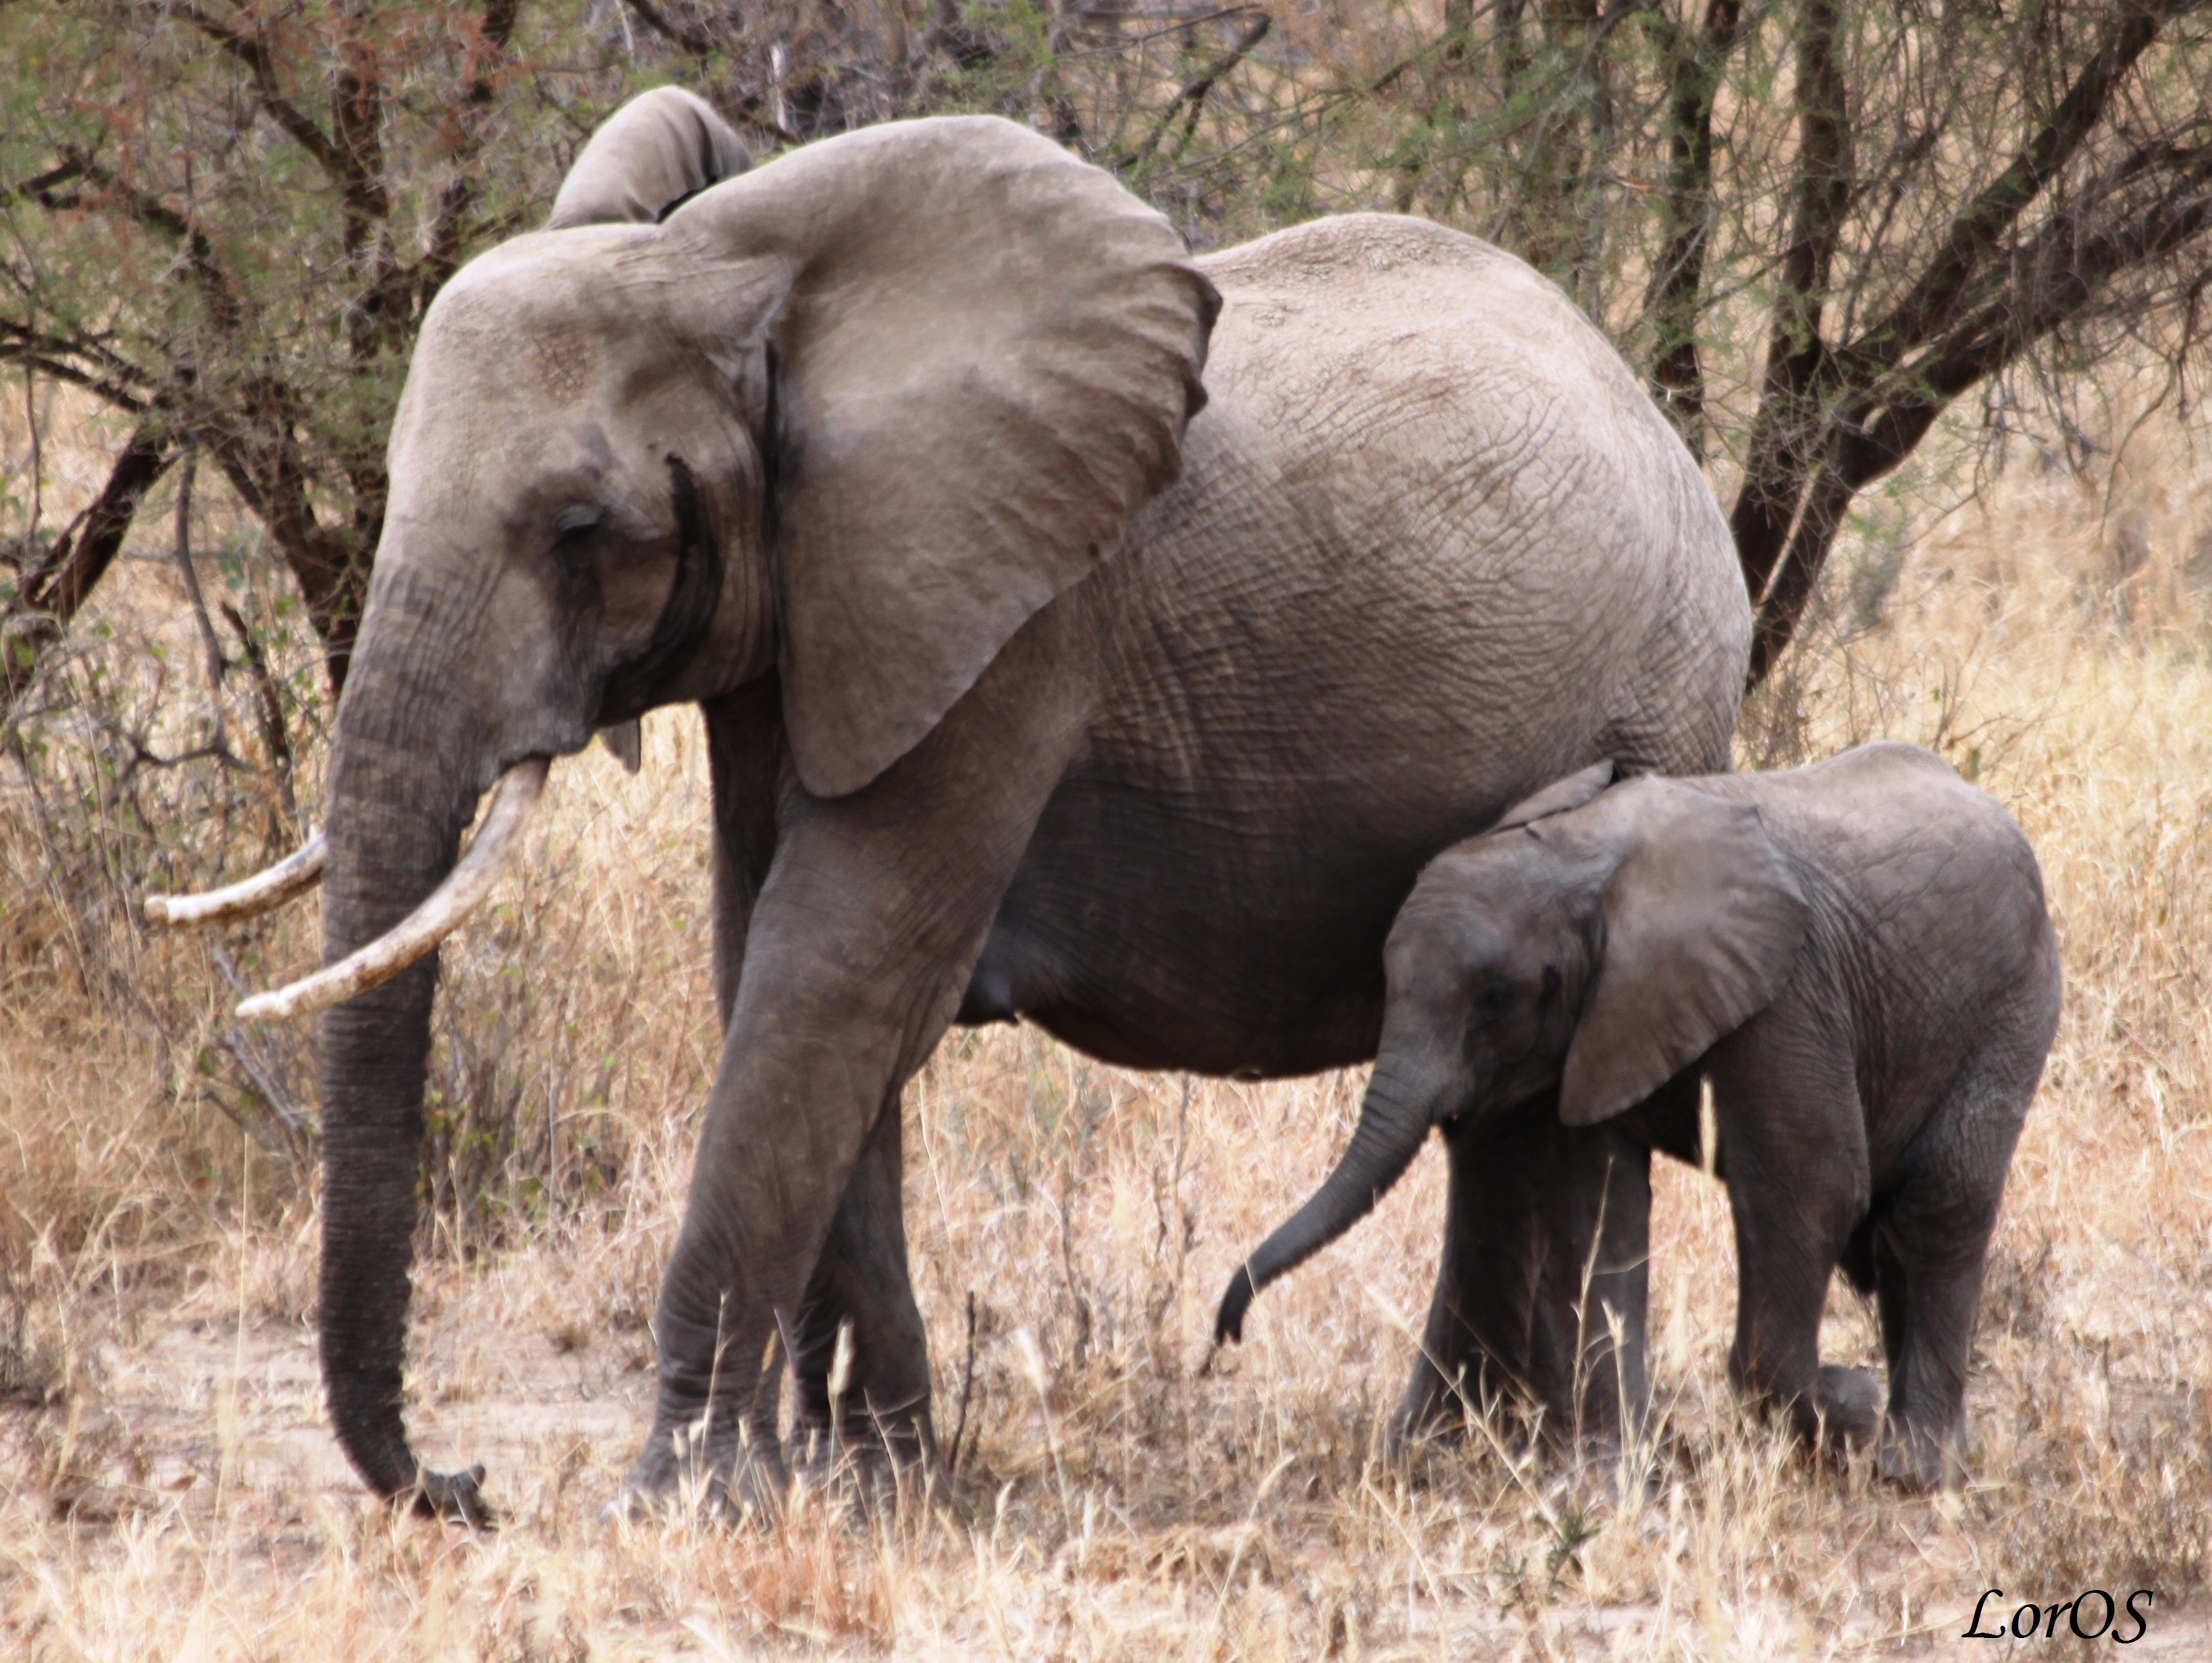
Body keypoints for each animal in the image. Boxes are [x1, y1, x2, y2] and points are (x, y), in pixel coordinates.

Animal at [156, 86, 1753, 1519]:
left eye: (582, 529)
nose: (467, 1484)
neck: (751, 287)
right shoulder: (813, 614)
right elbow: (775, 972)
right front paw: (869, 1481)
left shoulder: (1018, 622)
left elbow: (836, 974)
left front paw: (682, 1505)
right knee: (1497, 1099)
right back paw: (1443, 1450)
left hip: (1663, 696)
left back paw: (1529, 1466)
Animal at [1216, 743, 2063, 1488]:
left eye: (1495, 1000)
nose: (1225, 1340)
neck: (1584, 857)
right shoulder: (1597, 1027)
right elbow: (1594, 1215)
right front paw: (1603, 1484)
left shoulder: (1786, 998)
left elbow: (1813, 1191)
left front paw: (1848, 1405)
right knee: (1896, 1230)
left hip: (2014, 1004)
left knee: (1939, 1202)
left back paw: (1912, 1467)